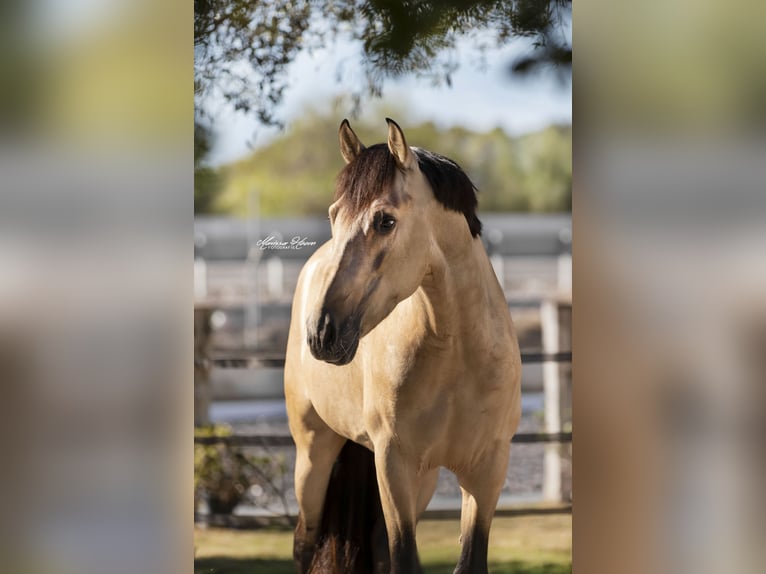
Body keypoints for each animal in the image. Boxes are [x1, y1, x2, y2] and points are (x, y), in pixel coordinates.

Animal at [284, 119, 524, 572]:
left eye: (385, 221)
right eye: (334, 215)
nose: (322, 332)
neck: (458, 355)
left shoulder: (487, 472)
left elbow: (468, 560)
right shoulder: (394, 464)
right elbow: (404, 558)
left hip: (425, 479)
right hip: (313, 454)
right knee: (304, 542)